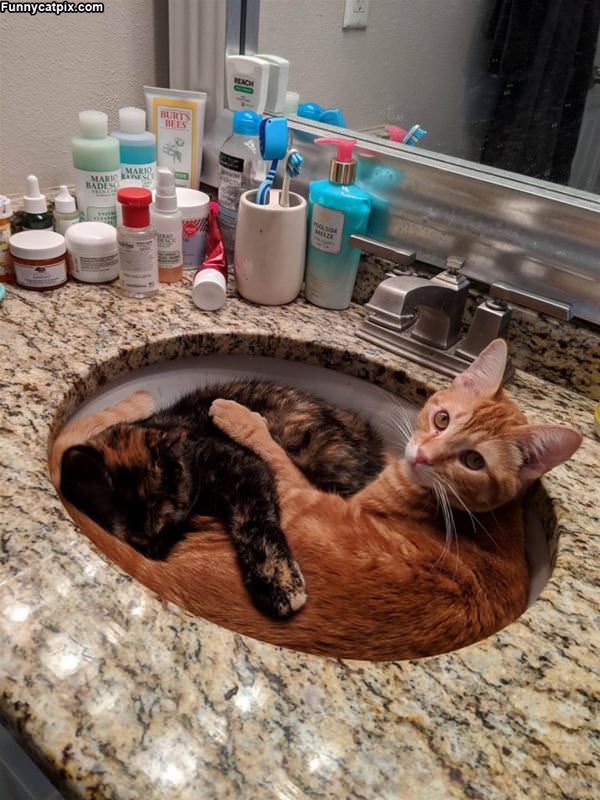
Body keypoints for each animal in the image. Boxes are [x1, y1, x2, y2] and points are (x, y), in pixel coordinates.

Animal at [59, 382, 384, 620]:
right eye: (140, 543)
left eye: (165, 527)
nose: (157, 555)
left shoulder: (243, 467)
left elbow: (254, 525)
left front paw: (277, 583)